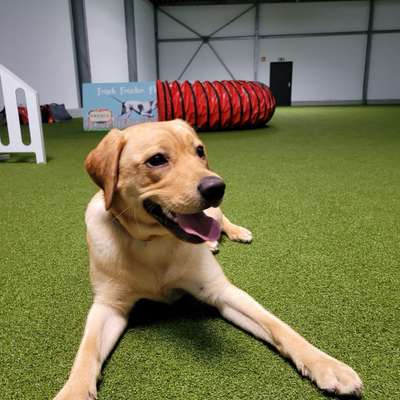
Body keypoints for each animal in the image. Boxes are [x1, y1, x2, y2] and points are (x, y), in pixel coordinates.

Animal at [54, 119, 364, 400]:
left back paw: (233, 233)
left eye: (199, 150)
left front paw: (325, 364)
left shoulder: (221, 291)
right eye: (157, 160)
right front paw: (74, 391)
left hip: (215, 213)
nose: (217, 187)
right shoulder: (109, 305)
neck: (154, 245)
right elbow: (87, 352)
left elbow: (279, 327)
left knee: (221, 219)